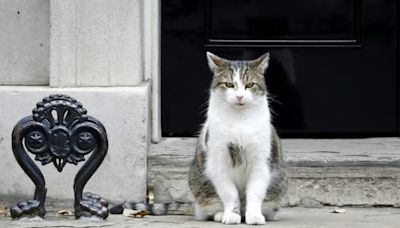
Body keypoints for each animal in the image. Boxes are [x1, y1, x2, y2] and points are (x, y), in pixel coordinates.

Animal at [188, 51, 288, 224]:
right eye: (229, 84)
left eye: (250, 85)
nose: (240, 96)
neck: (240, 120)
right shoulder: (219, 161)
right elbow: (230, 193)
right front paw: (231, 215)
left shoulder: (261, 161)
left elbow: (255, 191)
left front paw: (254, 216)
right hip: (200, 185)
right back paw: (221, 214)